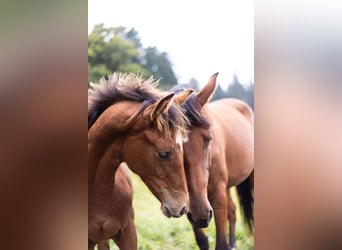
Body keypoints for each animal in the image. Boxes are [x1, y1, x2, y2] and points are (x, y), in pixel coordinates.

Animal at [171, 74, 254, 250]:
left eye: (209, 138)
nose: (201, 213)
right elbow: (202, 241)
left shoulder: (217, 195)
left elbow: (220, 243)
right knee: (232, 211)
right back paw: (233, 244)